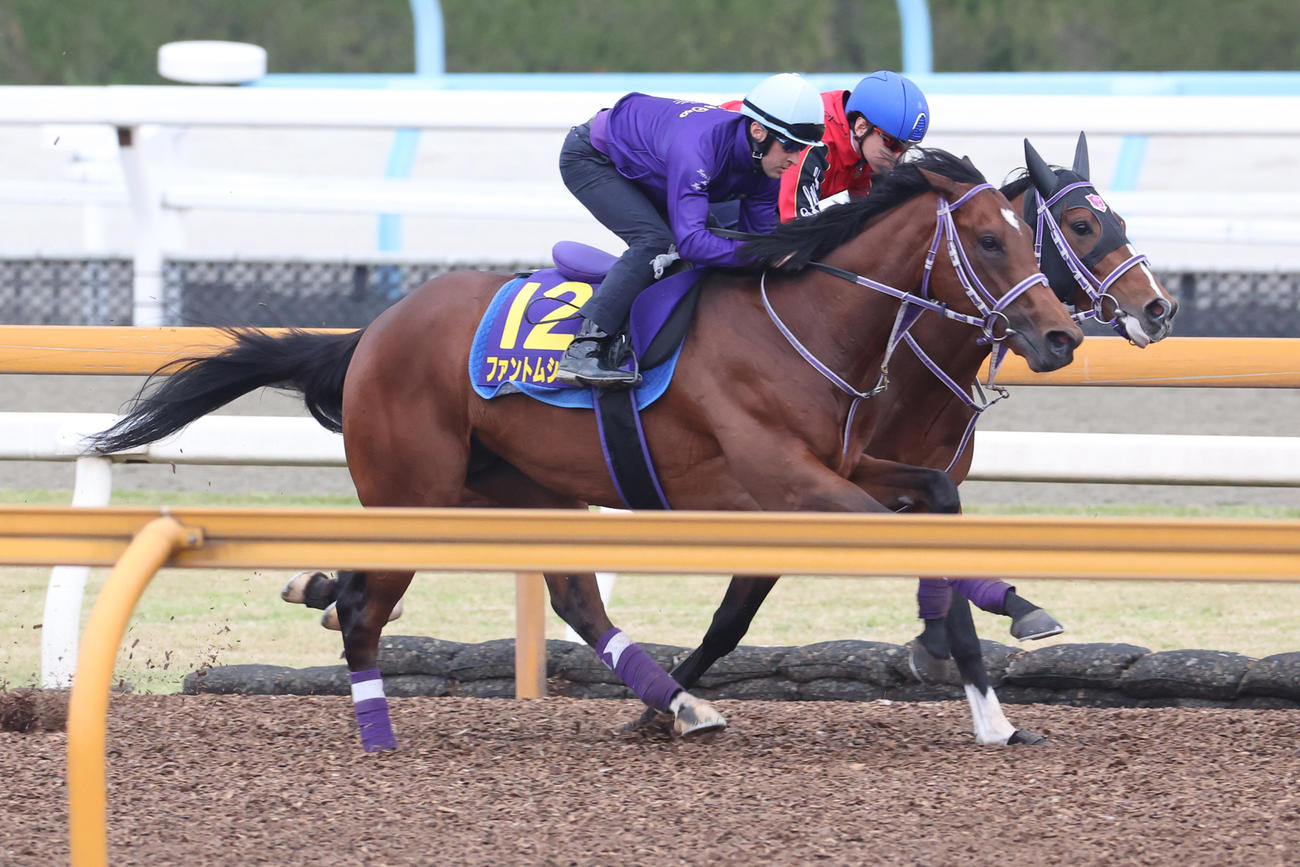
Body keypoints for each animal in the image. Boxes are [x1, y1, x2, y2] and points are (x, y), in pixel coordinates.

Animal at [89, 149, 1082, 752]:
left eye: (1029, 237)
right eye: (988, 240)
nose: (1062, 335)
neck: (804, 320)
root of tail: (373, 331)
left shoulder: (838, 470)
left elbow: (937, 501)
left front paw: (1000, 668)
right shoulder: (785, 483)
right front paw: (1000, 664)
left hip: (527, 488)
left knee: (567, 595)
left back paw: (677, 701)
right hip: (414, 489)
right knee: (372, 606)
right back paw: (376, 726)